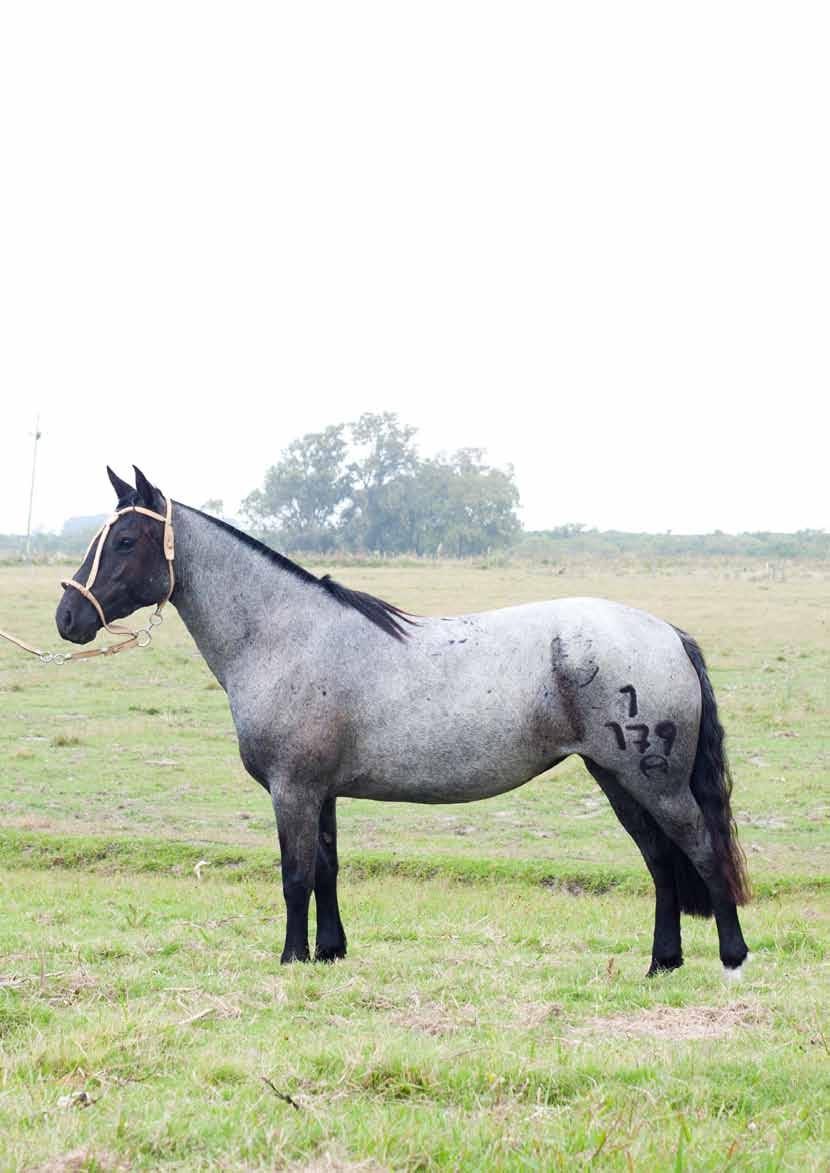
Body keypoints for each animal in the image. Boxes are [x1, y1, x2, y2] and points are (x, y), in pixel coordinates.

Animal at [55, 464, 750, 971]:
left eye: (124, 540)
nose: (67, 617)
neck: (285, 634)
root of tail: (666, 633)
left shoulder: (293, 790)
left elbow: (294, 875)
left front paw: (290, 959)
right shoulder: (322, 792)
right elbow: (327, 870)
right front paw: (328, 954)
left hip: (653, 784)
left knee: (699, 849)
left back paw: (731, 959)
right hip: (618, 780)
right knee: (660, 862)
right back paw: (662, 964)